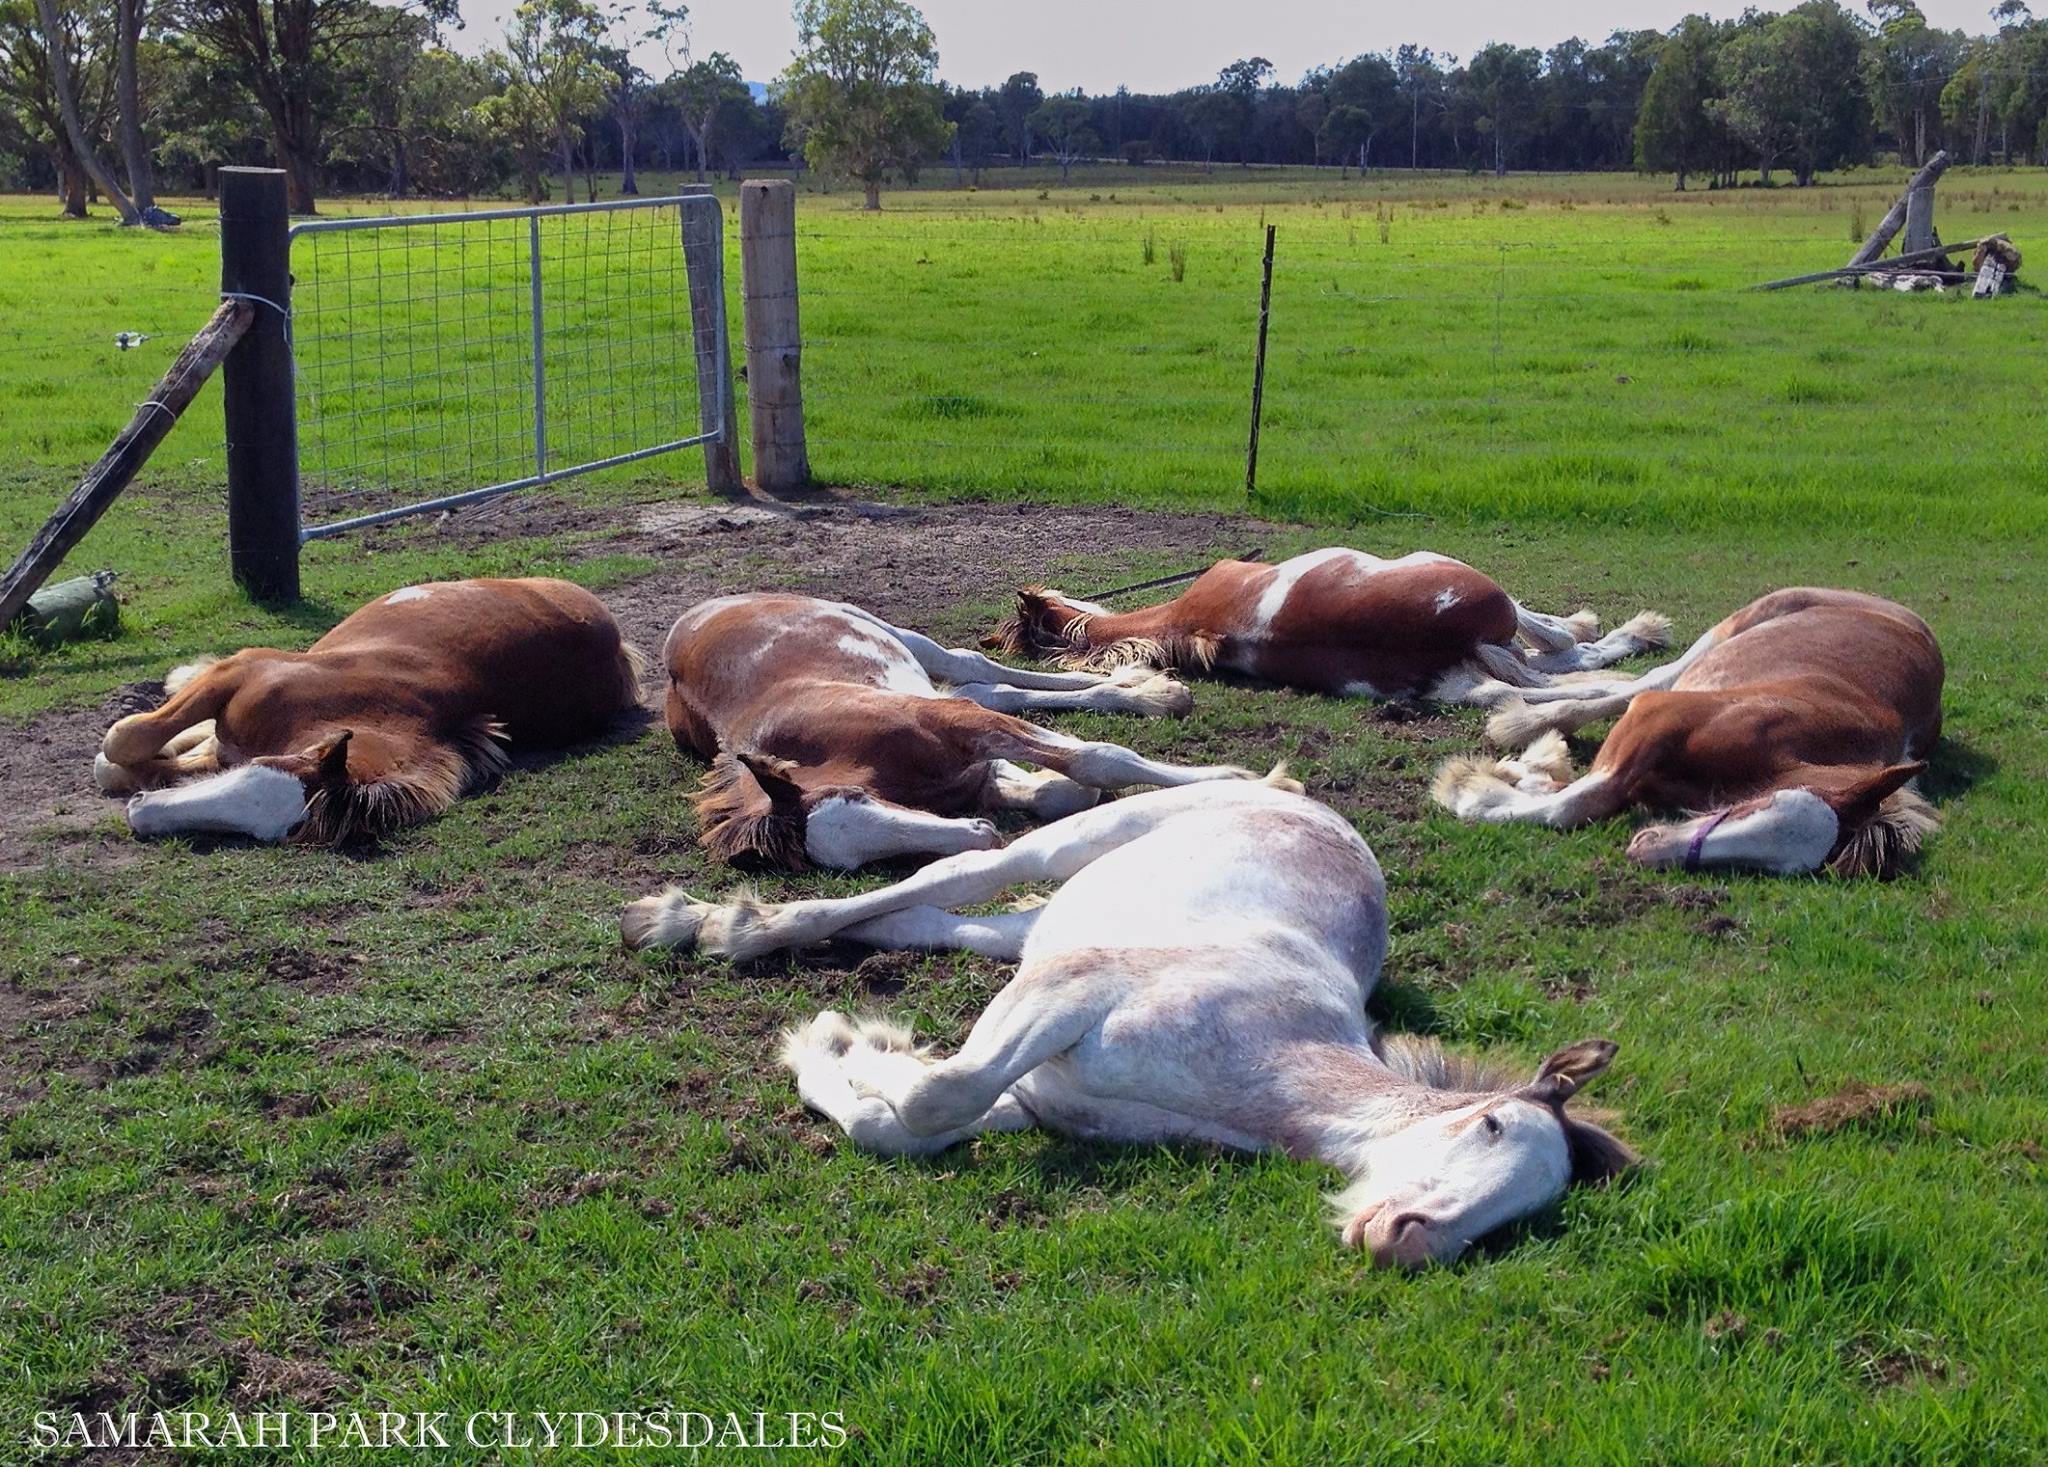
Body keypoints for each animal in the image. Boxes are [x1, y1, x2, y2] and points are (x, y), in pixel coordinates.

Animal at [94, 577, 638, 844]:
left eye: (278, 831)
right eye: (257, 770)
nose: (140, 816)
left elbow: (129, 756)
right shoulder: (238, 672)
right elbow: (126, 740)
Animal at [618, 778, 1630, 1270]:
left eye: (1525, 1215)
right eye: (1489, 1124)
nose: (1403, 1238)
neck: (1264, 1064)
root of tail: (1292, 791)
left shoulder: (1040, 1090)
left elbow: (904, 1119)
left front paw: (848, 1046)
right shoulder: (1071, 990)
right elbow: (942, 1092)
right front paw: (853, 1042)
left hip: (1045, 922)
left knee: (932, 921)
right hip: (1066, 847)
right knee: (951, 874)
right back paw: (709, 925)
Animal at [659, 594, 1261, 872]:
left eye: (857, 799)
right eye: (853, 863)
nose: (983, 835)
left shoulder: (958, 724)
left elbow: (1096, 758)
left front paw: (1238, 780)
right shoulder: (968, 753)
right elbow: (1058, 788)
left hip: (893, 633)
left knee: (974, 666)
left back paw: (1150, 693)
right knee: (985, 686)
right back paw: (1145, 690)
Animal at [1433, 585, 1941, 881]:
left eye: (1782, 865)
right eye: (1760, 806)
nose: (1646, 850)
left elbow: (1580, 791)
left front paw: (1521, 777)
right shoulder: (1659, 717)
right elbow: (1580, 800)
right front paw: (1470, 790)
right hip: (1722, 636)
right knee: (1644, 681)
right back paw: (1507, 708)